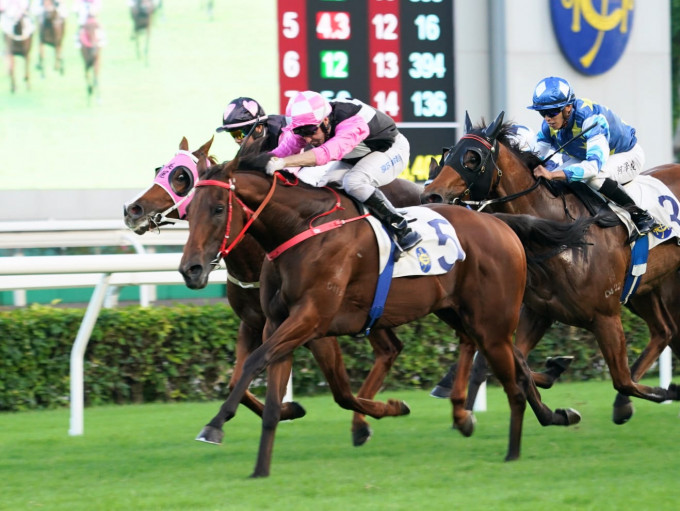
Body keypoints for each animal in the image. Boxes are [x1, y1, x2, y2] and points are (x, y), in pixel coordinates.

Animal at [181, 153, 588, 480]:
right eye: (188, 211)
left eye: (218, 209)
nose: (191, 269)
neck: (300, 229)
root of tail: (499, 221)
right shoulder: (280, 324)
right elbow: (278, 393)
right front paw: (261, 467)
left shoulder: (311, 319)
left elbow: (257, 363)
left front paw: (214, 426)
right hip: (459, 312)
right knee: (507, 357)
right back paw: (550, 411)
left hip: (490, 318)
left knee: (502, 360)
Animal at [420, 112, 680, 424]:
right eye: (448, 154)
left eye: (473, 158)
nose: (431, 196)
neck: (563, 234)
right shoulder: (539, 312)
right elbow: (510, 365)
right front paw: (556, 375)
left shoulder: (605, 317)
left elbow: (623, 380)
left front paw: (668, 391)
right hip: (643, 288)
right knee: (664, 330)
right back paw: (620, 404)